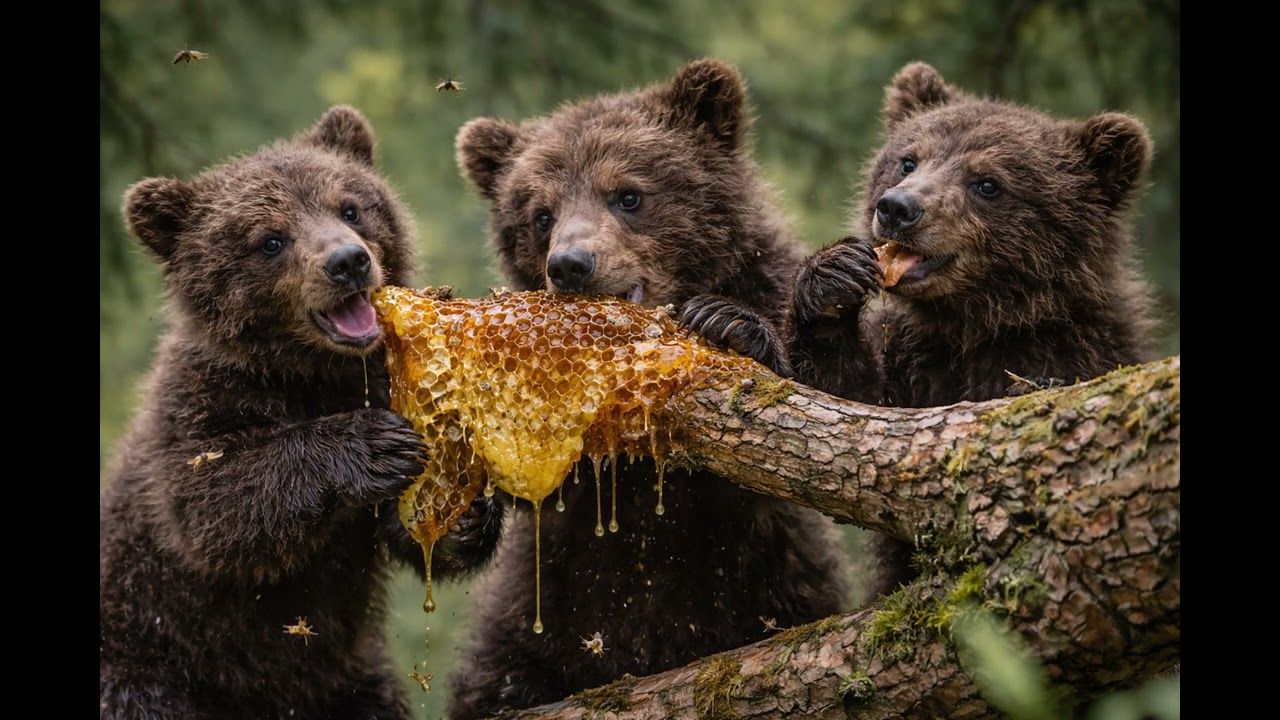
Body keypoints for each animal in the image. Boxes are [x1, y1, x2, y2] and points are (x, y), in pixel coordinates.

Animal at [98, 105, 503, 720]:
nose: (348, 261)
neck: (315, 372)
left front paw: (466, 513)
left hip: (348, 680)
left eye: (350, 207)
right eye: (270, 240)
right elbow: (213, 506)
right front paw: (373, 444)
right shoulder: (200, 403)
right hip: (144, 662)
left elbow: (401, 528)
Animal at [445, 58, 852, 718]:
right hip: (533, 623)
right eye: (541, 214)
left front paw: (728, 324)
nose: (571, 264)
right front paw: (465, 513)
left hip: (777, 588)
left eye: (628, 194)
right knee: (498, 679)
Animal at [784, 61, 1160, 599]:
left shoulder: (1079, 343)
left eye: (987, 183)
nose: (897, 208)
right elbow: (847, 405)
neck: (974, 323)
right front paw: (833, 279)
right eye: (908, 160)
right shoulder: (911, 356)